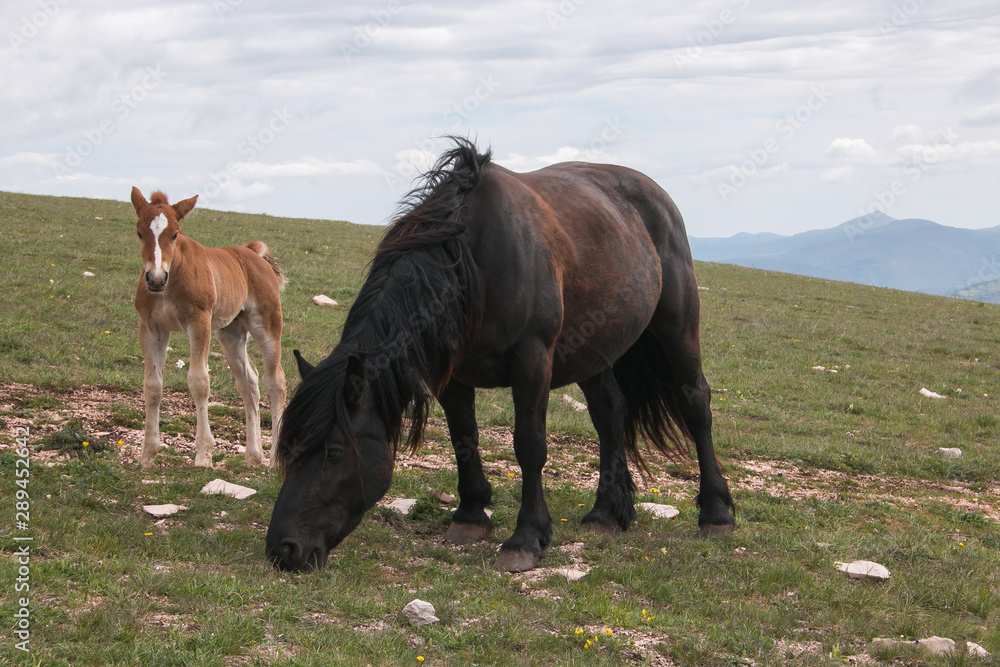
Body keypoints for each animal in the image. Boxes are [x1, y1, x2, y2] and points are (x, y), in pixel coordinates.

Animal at [131, 187, 287, 470]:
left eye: (174, 233)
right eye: (139, 232)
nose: (155, 279)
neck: (171, 281)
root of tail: (253, 253)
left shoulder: (198, 322)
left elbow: (199, 381)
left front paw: (203, 455)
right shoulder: (151, 329)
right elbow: (152, 386)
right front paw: (147, 454)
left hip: (268, 325)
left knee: (275, 382)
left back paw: (273, 459)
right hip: (230, 333)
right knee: (248, 382)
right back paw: (253, 455)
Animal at [266, 139, 734, 573]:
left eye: (334, 453)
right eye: (289, 447)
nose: (282, 549)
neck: (472, 261)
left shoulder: (533, 360)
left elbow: (529, 446)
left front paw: (526, 538)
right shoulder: (452, 375)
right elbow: (464, 438)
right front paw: (471, 516)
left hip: (677, 329)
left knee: (696, 403)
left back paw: (716, 514)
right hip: (594, 350)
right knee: (609, 413)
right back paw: (605, 514)